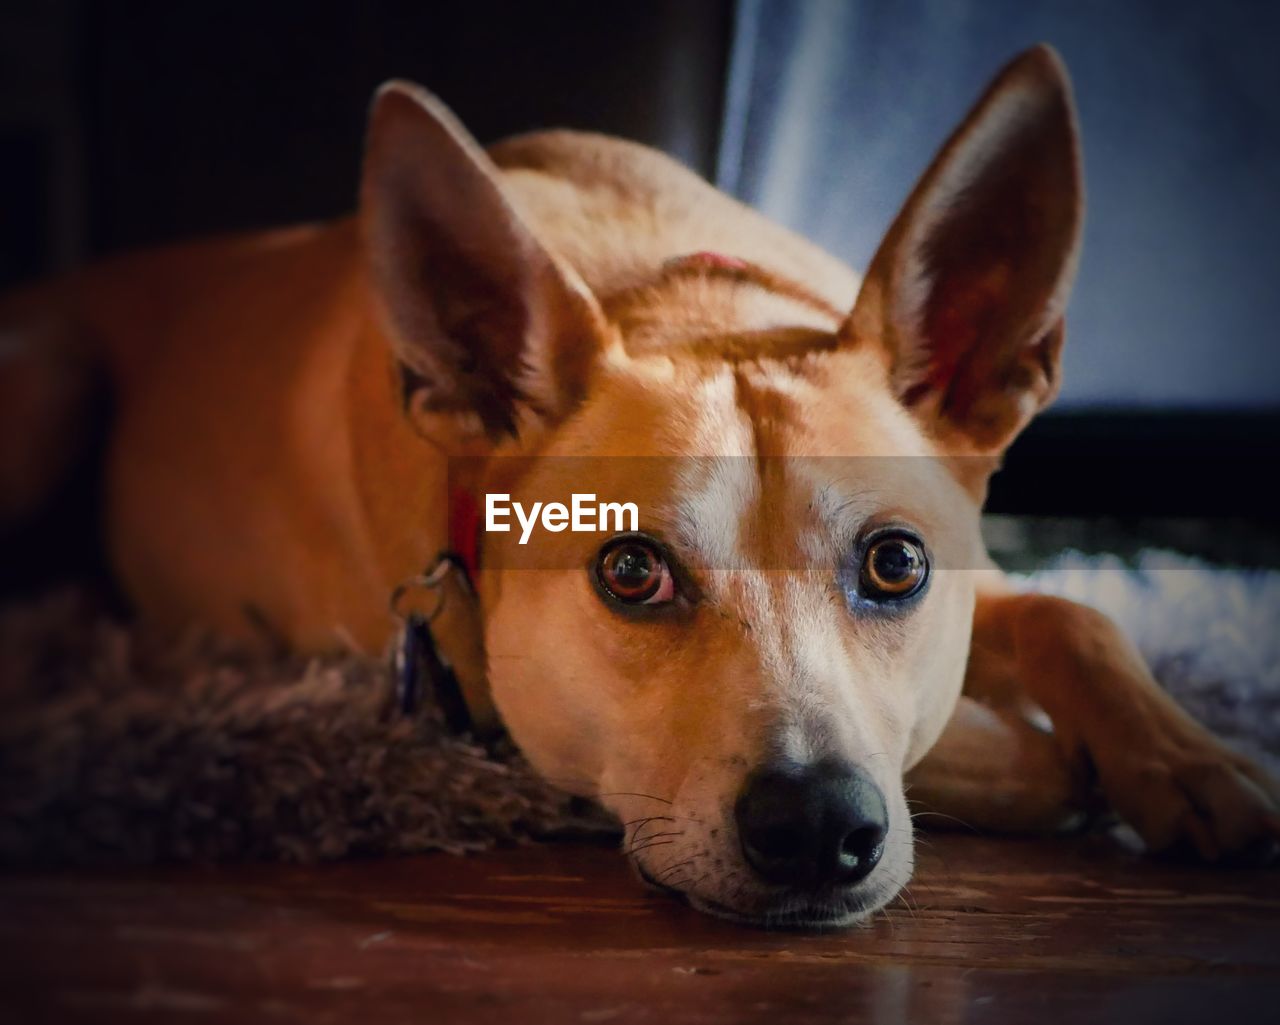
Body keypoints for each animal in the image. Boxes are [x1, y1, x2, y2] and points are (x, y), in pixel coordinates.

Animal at [0, 47, 1274, 926]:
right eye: (629, 570)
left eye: (894, 562)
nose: (817, 825)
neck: (676, 298)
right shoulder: (489, 707)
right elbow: (986, 748)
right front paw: (1044, 759)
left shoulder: (978, 567)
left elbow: (1075, 612)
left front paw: (1194, 759)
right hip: (53, 380)